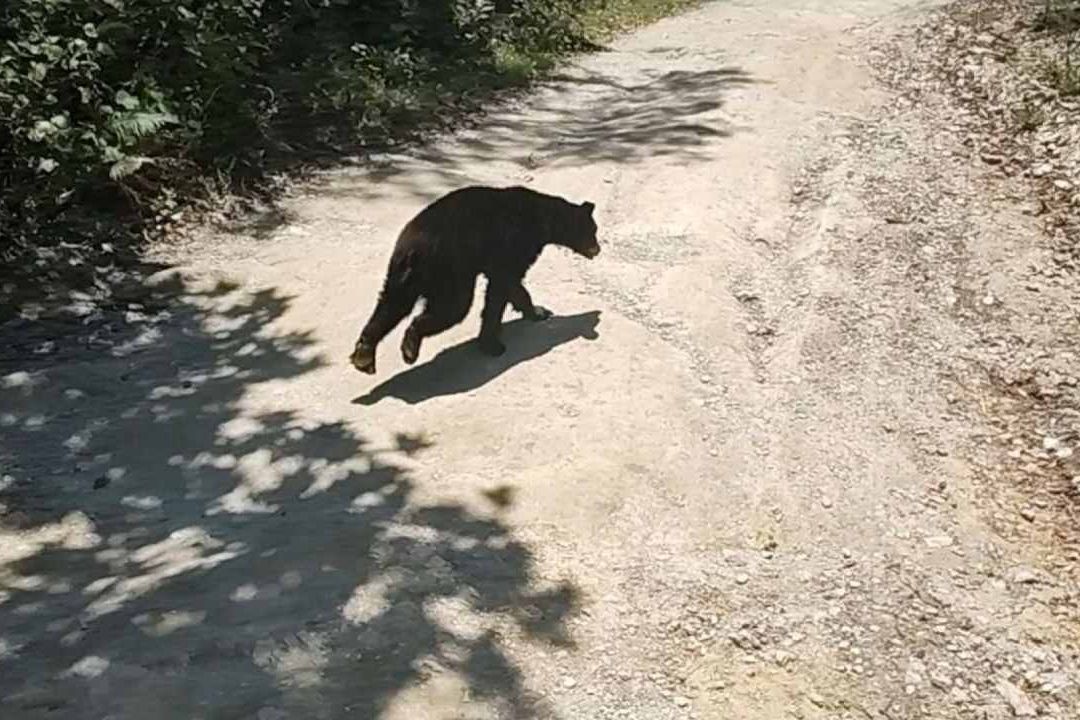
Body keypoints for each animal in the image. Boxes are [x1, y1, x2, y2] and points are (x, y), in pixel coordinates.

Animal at [350, 185, 600, 375]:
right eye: (592, 231)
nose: (598, 249)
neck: (543, 221)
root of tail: (413, 250)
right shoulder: (513, 245)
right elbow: (503, 286)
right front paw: (492, 342)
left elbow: (513, 287)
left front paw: (537, 311)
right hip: (450, 270)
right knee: (453, 308)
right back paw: (411, 344)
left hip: (402, 274)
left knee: (391, 304)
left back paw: (364, 353)